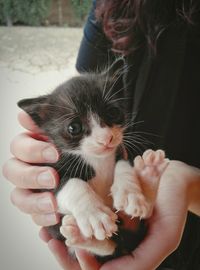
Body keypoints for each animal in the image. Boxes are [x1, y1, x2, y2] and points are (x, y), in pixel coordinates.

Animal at [17, 58, 168, 260]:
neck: (97, 159)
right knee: (108, 248)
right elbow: (70, 183)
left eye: (113, 112)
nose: (106, 139)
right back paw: (80, 236)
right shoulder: (46, 177)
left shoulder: (120, 152)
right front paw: (94, 214)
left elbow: (123, 164)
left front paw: (130, 193)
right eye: (74, 127)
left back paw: (149, 175)